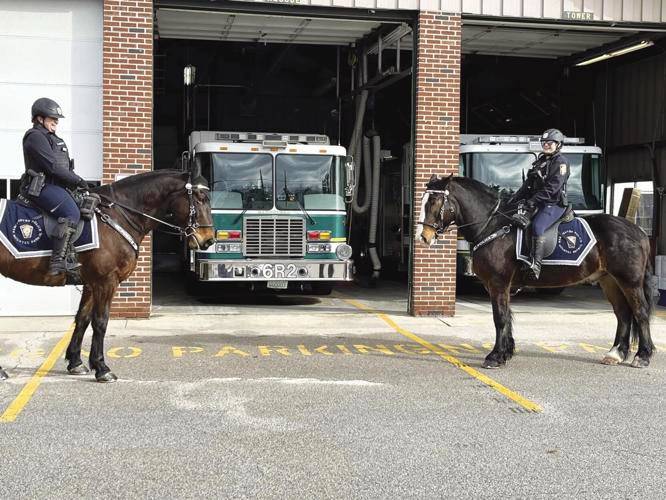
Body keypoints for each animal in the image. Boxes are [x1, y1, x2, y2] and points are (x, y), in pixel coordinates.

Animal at [0, 170, 214, 380]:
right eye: (200, 198)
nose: (209, 239)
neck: (120, 216)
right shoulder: (106, 281)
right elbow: (100, 321)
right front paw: (102, 368)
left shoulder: (90, 284)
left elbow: (83, 319)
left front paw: (76, 362)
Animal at [416, 174, 652, 370]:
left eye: (435, 201)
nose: (424, 237)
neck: (493, 225)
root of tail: (638, 231)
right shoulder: (501, 286)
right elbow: (507, 316)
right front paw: (506, 353)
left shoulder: (498, 283)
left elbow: (500, 318)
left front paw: (495, 357)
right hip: (609, 281)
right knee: (623, 314)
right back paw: (615, 354)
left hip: (629, 281)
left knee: (640, 312)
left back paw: (643, 356)